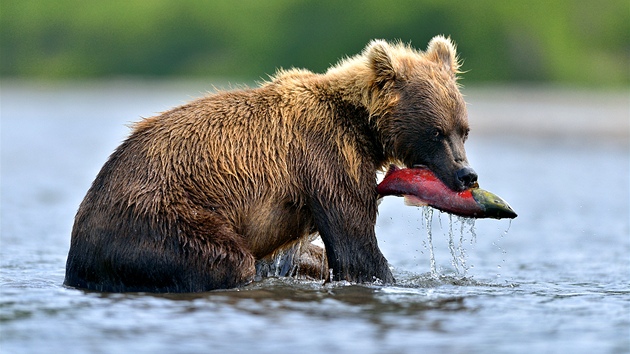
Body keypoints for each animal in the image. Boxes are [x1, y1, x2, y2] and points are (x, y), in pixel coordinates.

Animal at [65, 35, 478, 294]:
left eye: (463, 130)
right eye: (436, 132)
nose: (467, 174)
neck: (362, 125)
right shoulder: (327, 155)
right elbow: (355, 241)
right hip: (159, 217)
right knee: (226, 259)